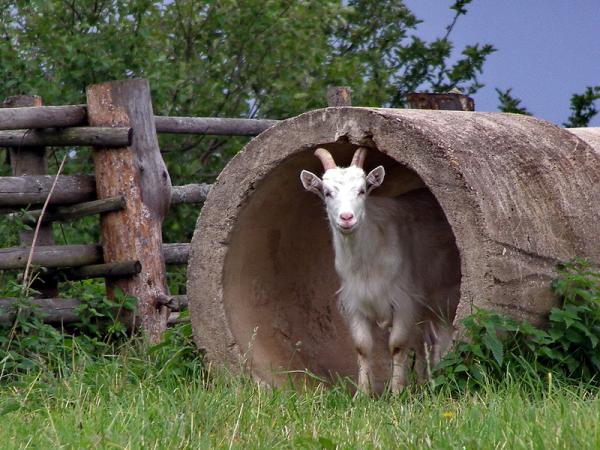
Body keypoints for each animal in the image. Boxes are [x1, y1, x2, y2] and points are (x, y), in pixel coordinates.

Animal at [300, 148, 460, 394]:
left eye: (362, 190)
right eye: (327, 193)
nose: (346, 218)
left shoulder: (403, 300)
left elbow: (397, 345)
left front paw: (396, 393)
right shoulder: (355, 302)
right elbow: (362, 347)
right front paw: (362, 393)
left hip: (446, 296)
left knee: (442, 336)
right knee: (427, 340)